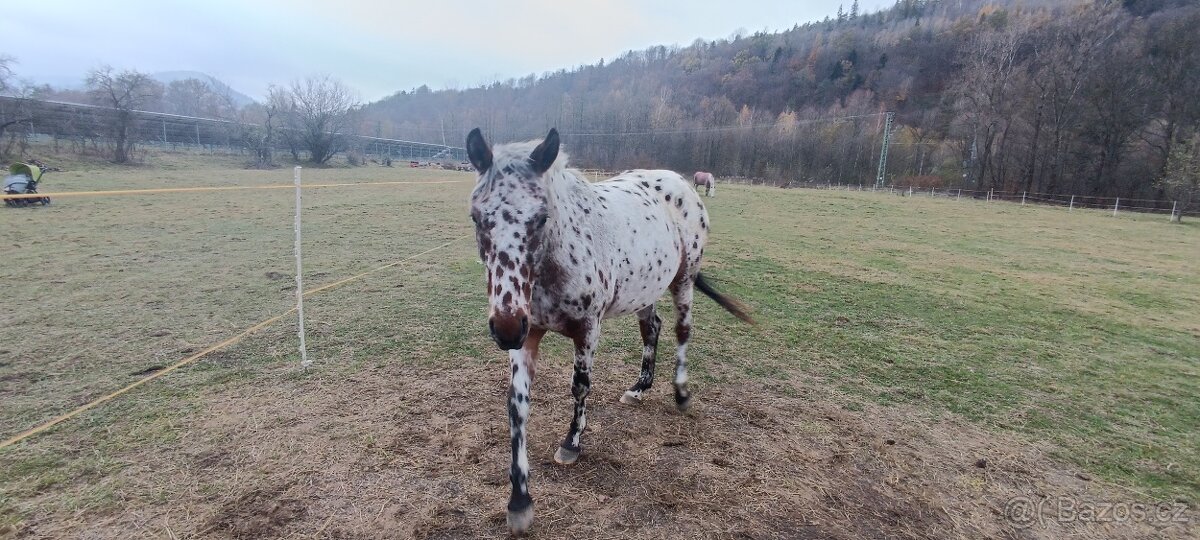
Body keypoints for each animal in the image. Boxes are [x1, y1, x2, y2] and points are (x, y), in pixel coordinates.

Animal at [465, 128, 753, 532]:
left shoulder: (587, 329)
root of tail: (680, 182)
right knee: (652, 330)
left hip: (684, 280)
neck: (559, 259)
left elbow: (580, 386)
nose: (504, 329)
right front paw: (519, 500)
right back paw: (639, 388)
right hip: (646, 288)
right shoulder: (527, 334)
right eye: (477, 217)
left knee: (682, 331)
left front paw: (572, 443)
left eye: (541, 217)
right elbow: (517, 405)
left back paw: (681, 395)